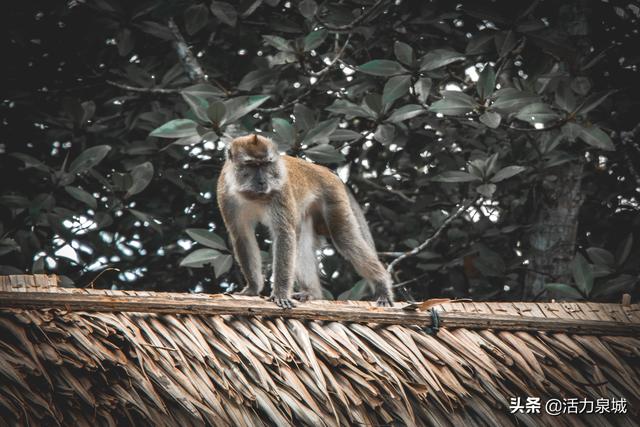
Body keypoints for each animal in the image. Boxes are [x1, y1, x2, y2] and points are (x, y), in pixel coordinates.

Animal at [216, 135, 396, 310]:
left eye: (266, 164)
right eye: (252, 165)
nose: (262, 182)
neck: (252, 195)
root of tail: (325, 170)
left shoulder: (281, 190)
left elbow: (284, 233)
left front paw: (280, 294)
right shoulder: (226, 195)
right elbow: (242, 236)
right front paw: (253, 289)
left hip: (333, 196)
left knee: (344, 238)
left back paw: (382, 287)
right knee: (302, 243)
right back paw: (311, 293)